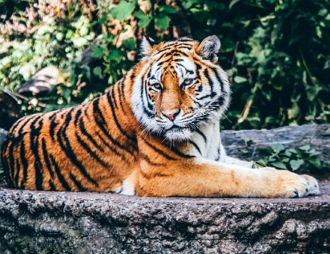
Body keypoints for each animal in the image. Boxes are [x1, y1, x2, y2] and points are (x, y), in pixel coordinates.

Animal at [0, 35, 320, 198]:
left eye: (186, 83)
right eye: (156, 86)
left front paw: (304, 178)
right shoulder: (167, 170)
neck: (209, 125)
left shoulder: (216, 155)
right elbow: (238, 177)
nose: (169, 115)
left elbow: (252, 166)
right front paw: (296, 184)